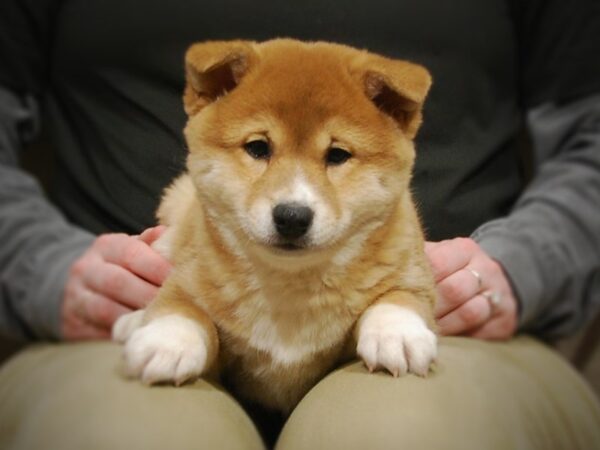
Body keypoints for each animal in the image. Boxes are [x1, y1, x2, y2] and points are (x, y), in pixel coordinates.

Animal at [112, 38, 438, 414]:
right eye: (258, 148)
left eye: (337, 155)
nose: (292, 217)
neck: (288, 285)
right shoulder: (190, 275)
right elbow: (181, 304)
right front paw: (168, 339)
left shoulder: (412, 270)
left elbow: (398, 296)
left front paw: (396, 333)